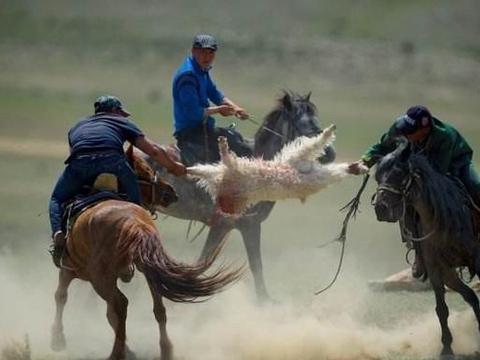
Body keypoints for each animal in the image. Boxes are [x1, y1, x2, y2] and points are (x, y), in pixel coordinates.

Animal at [49, 149, 240, 360]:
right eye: (145, 171)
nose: (171, 192)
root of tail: (133, 223)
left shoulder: (69, 270)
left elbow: (61, 296)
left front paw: (57, 339)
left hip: (100, 279)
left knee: (120, 304)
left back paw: (117, 353)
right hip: (148, 271)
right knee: (158, 309)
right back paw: (166, 350)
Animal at [376, 139, 480, 358]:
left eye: (399, 173)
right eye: (377, 176)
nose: (380, 208)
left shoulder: (478, 259)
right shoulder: (436, 269)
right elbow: (441, 308)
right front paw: (447, 347)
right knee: (471, 297)